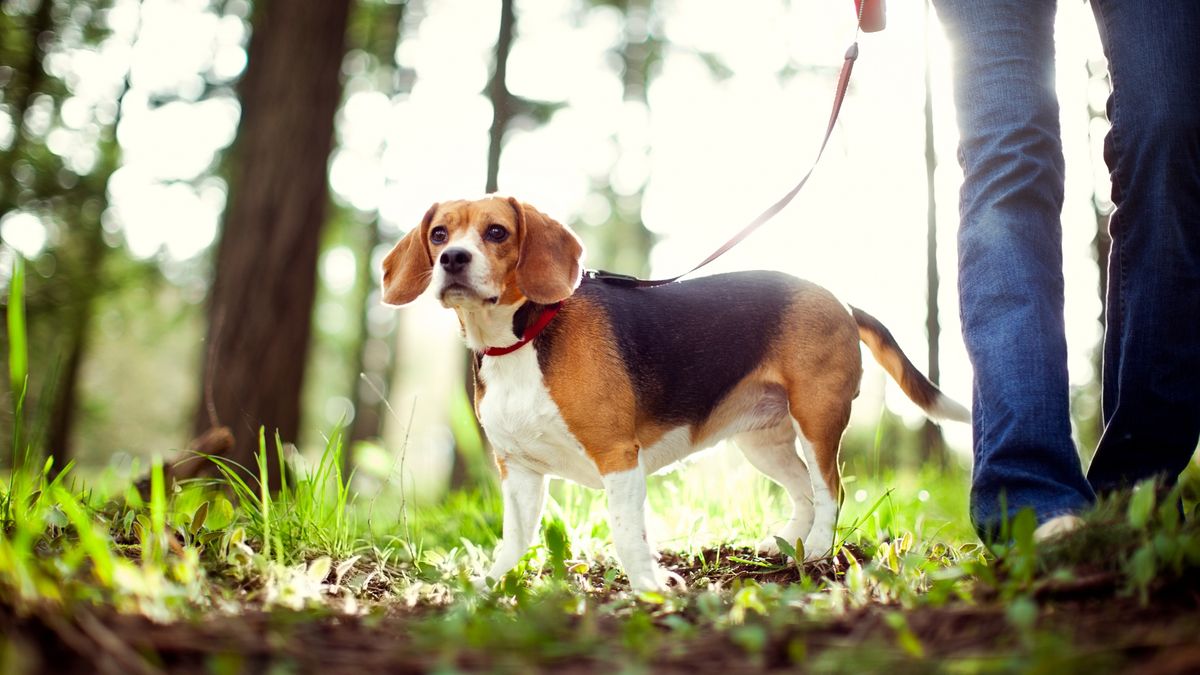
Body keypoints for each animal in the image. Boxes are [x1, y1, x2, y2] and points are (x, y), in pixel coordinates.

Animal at [379, 193, 969, 588]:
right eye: (439, 234)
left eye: (497, 232)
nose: (452, 260)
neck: (523, 337)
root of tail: (841, 301)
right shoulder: (518, 469)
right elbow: (515, 537)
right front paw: (493, 583)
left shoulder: (618, 457)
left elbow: (625, 532)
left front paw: (648, 588)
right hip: (763, 441)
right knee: (803, 490)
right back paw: (790, 546)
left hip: (817, 417)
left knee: (830, 490)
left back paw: (820, 547)